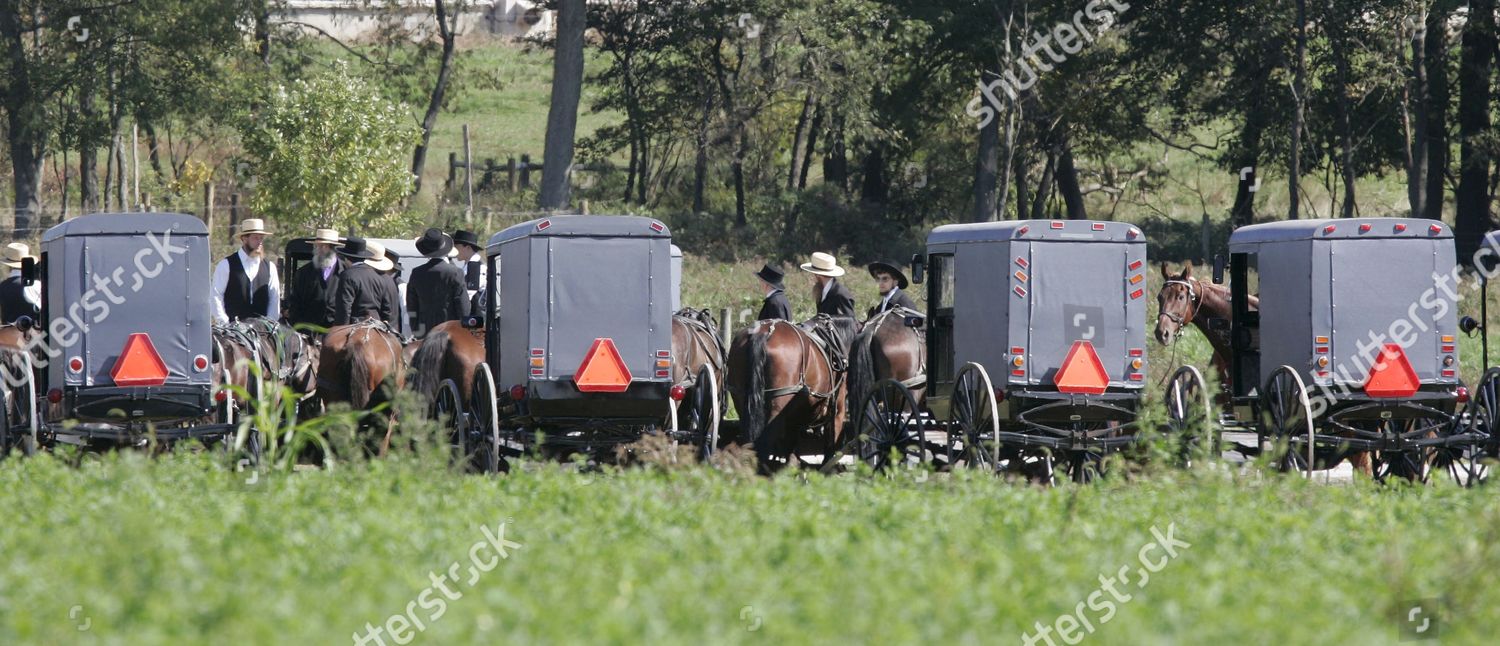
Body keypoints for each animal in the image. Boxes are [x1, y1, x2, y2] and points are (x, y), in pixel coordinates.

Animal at [723, 316, 858, 473]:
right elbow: (832, 440)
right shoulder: (837, 410)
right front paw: (829, 467)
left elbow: (790, 442)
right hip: (777, 405)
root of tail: (763, 332)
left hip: (742, 401)